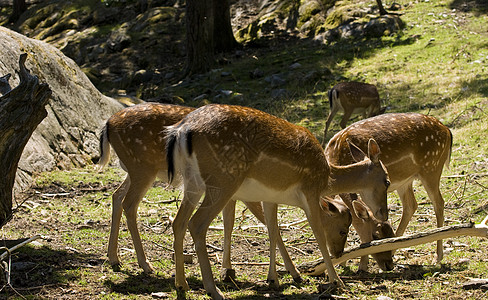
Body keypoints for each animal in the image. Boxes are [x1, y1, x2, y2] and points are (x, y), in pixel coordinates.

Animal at [97, 101, 358, 282]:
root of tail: (107, 124)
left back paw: (115, 258)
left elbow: (239, 224)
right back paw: (145, 264)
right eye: (343, 228)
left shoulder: (245, 195)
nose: (339, 253)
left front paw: (232, 270)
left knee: (117, 196)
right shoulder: (251, 194)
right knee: (131, 204)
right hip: (145, 169)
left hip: (140, 172)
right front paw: (300, 274)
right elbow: (272, 227)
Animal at [166, 103, 390, 300]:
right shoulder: (310, 191)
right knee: (197, 224)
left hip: (192, 183)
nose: (384, 213)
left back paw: (182, 284)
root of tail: (182, 130)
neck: (327, 177)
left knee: (178, 222)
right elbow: (317, 235)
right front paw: (336, 281)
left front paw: (274, 279)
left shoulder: (270, 197)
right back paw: (213, 290)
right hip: (223, 180)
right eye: (387, 181)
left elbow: (273, 231)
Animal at [326, 113, 452, 264]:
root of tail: (447, 129)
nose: (337, 254)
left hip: (432, 166)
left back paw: (438, 256)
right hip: (406, 180)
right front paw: (343, 263)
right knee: (411, 205)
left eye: (376, 236)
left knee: (438, 202)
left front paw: (360, 264)